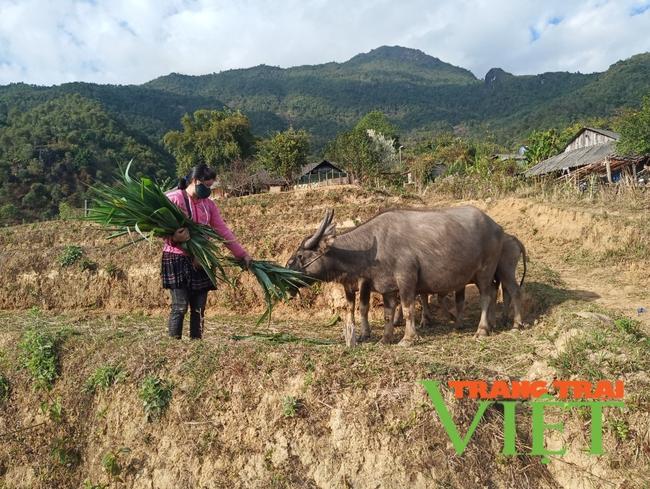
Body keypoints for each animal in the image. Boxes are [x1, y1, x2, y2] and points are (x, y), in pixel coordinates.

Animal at [286, 208, 504, 346]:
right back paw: (489, 323)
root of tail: (496, 226)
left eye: (300, 255)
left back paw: (482, 329)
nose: (286, 269)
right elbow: (387, 313)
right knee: (493, 293)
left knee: (486, 297)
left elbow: (407, 309)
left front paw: (407, 338)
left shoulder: (406, 279)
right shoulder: (387, 287)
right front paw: (385, 338)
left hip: (484, 272)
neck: (373, 248)